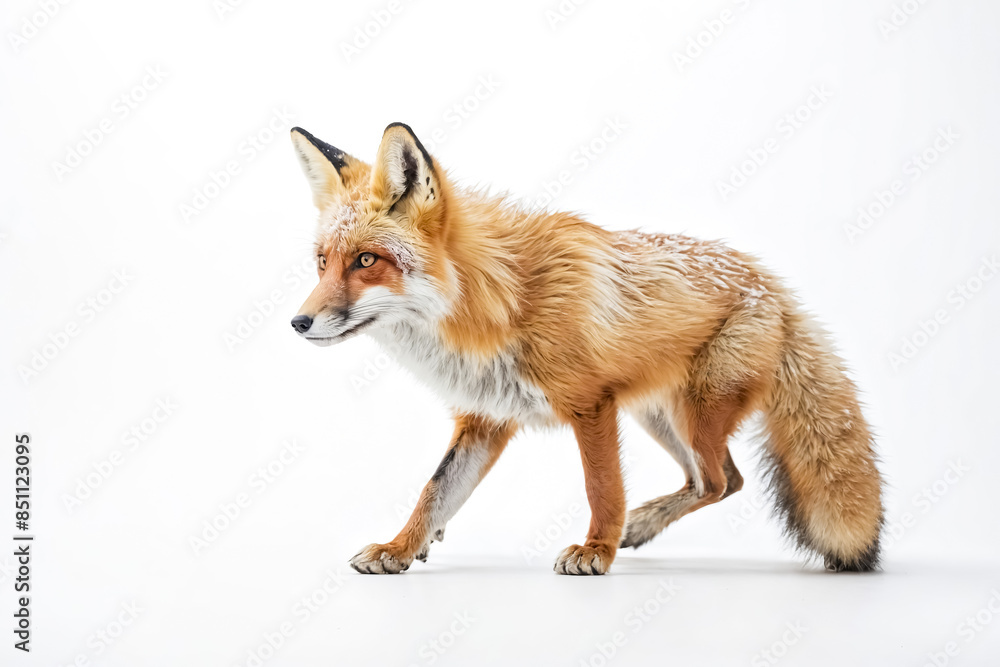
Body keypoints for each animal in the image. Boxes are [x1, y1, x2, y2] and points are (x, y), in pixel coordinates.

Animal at [288, 122, 884, 576]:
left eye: (366, 260)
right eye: (322, 262)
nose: (298, 322)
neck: (501, 300)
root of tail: (773, 285)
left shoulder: (591, 404)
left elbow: (602, 487)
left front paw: (597, 549)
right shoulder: (485, 417)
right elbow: (435, 492)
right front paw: (402, 546)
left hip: (694, 413)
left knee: (718, 480)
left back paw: (633, 526)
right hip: (658, 415)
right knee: (718, 479)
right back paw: (642, 525)